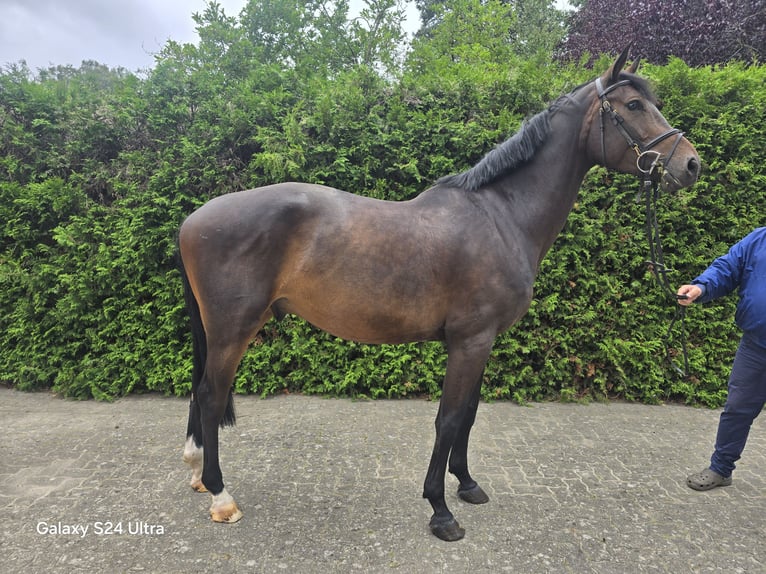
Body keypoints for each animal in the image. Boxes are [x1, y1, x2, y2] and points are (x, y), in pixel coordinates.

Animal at [178, 46, 700, 542]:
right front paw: (440, 510)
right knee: (210, 394)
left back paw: (199, 474)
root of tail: (192, 219)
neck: (502, 216)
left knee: (200, 392)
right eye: (633, 105)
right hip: (233, 329)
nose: (691, 163)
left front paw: (466, 484)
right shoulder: (471, 340)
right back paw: (221, 495)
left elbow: (468, 415)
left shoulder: (481, 341)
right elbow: (448, 419)